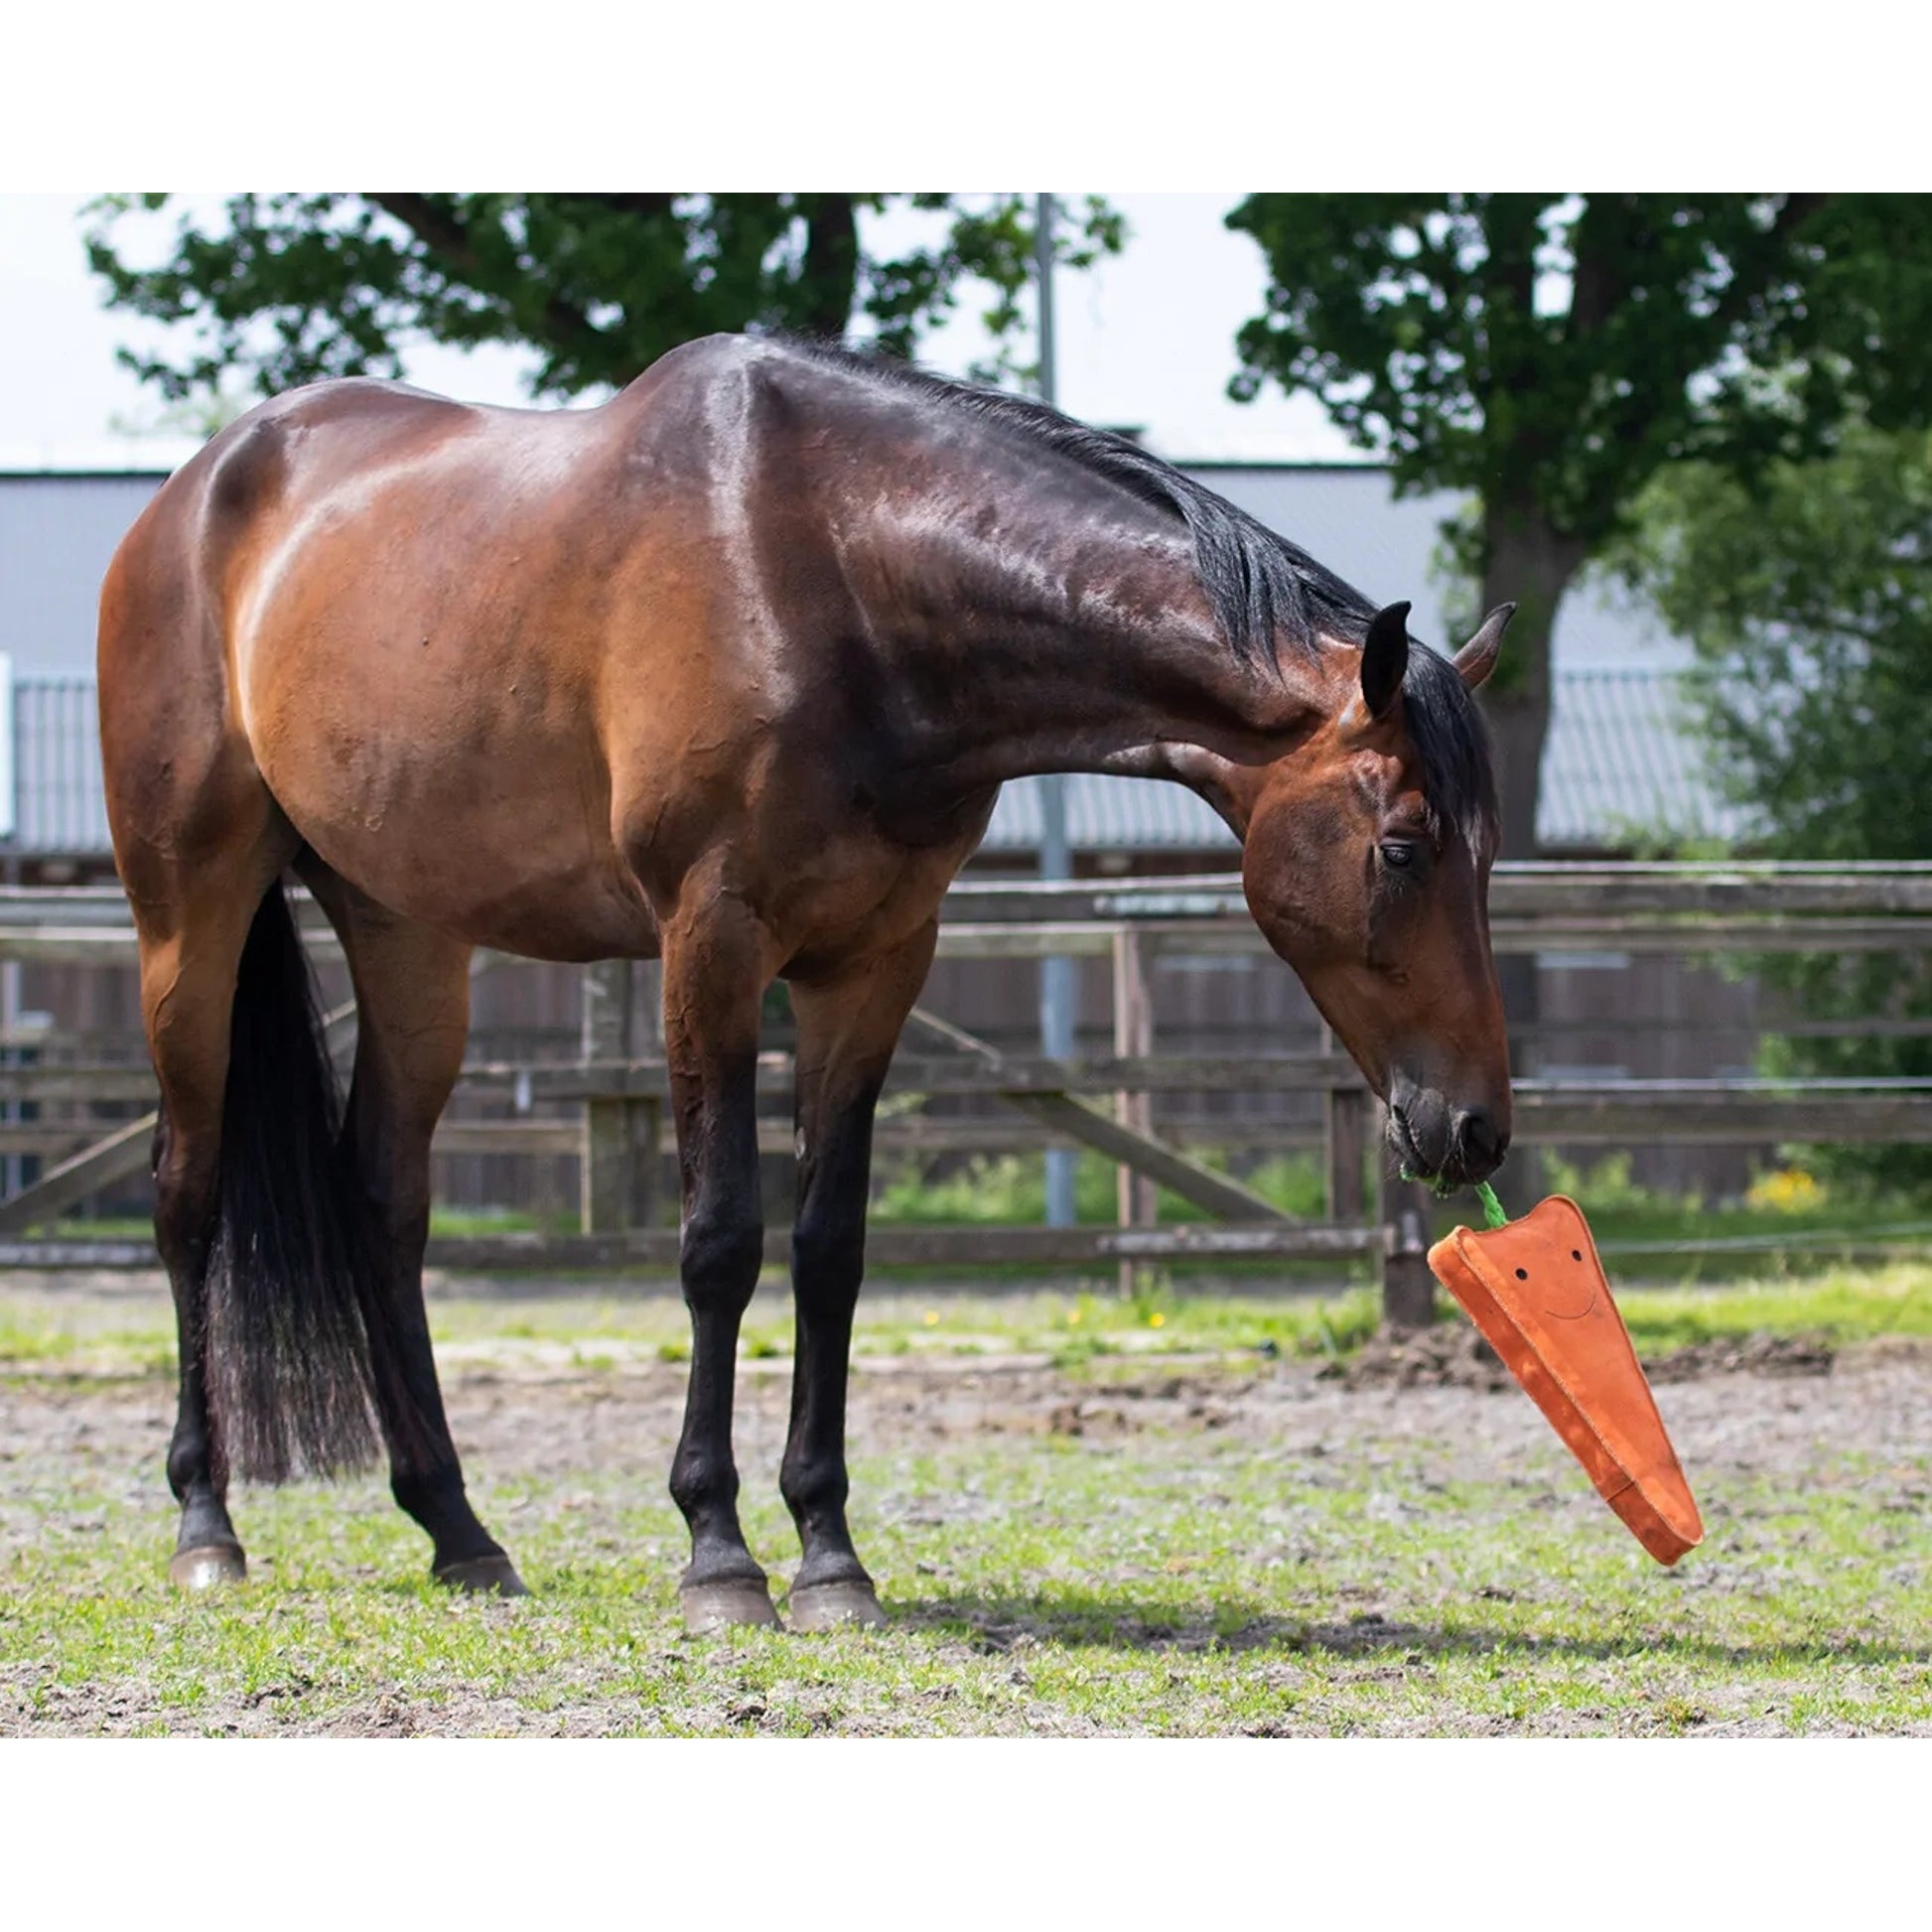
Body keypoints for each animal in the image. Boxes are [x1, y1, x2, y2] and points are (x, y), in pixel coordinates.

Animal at [98, 333, 1514, 1631]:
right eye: (1401, 847)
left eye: (1488, 852)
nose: (1474, 1126)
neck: (835, 576)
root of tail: (195, 493)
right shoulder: (709, 944)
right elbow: (720, 1240)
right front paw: (718, 1553)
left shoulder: (872, 960)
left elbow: (829, 1248)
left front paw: (830, 1554)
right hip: (189, 917)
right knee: (186, 1194)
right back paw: (206, 1525)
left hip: (405, 935)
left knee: (383, 1204)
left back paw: (458, 1530)